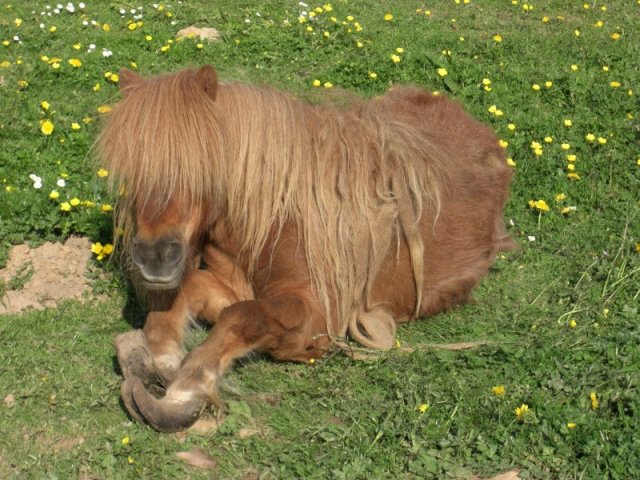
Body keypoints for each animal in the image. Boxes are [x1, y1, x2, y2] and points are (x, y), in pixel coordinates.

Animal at [99, 64, 516, 432]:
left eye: (202, 166)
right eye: (130, 170)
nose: (154, 258)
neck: (277, 216)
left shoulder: (313, 313)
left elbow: (244, 318)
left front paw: (183, 393)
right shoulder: (228, 286)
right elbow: (185, 300)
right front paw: (161, 363)